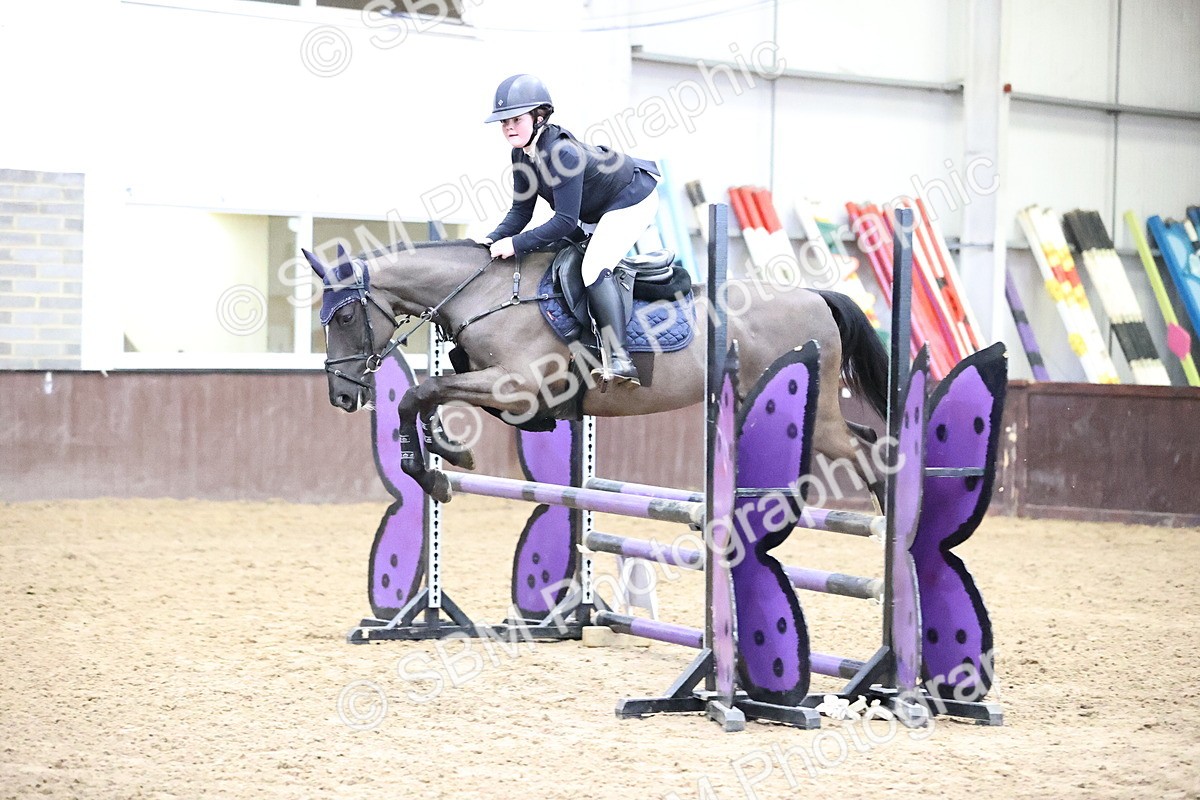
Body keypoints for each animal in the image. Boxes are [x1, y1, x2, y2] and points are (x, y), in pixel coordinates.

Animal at [303, 239, 888, 505]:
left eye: (346, 316)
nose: (340, 396)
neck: (486, 296)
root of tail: (814, 293)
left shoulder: (518, 387)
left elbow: (420, 391)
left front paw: (433, 474)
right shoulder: (514, 398)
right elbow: (431, 395)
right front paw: (449, 453)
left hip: (814, 414)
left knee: (867, 454)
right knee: (865, 437)